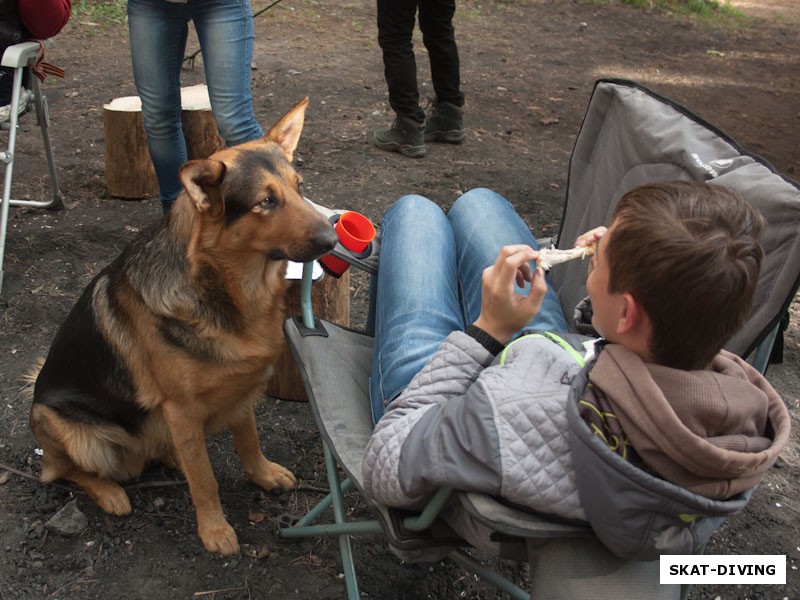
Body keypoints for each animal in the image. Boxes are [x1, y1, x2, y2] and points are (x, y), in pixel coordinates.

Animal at [28, 97, 338, 552]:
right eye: (265, 201)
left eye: (299, 188)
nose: (333, 241)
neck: (229, 288)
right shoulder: (182, 408)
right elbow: (205, 480)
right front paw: (215, 529)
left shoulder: (240, 390)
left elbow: (248, 439)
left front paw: (263, 475)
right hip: (70, 430)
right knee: (62, 471)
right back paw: (111, 492)